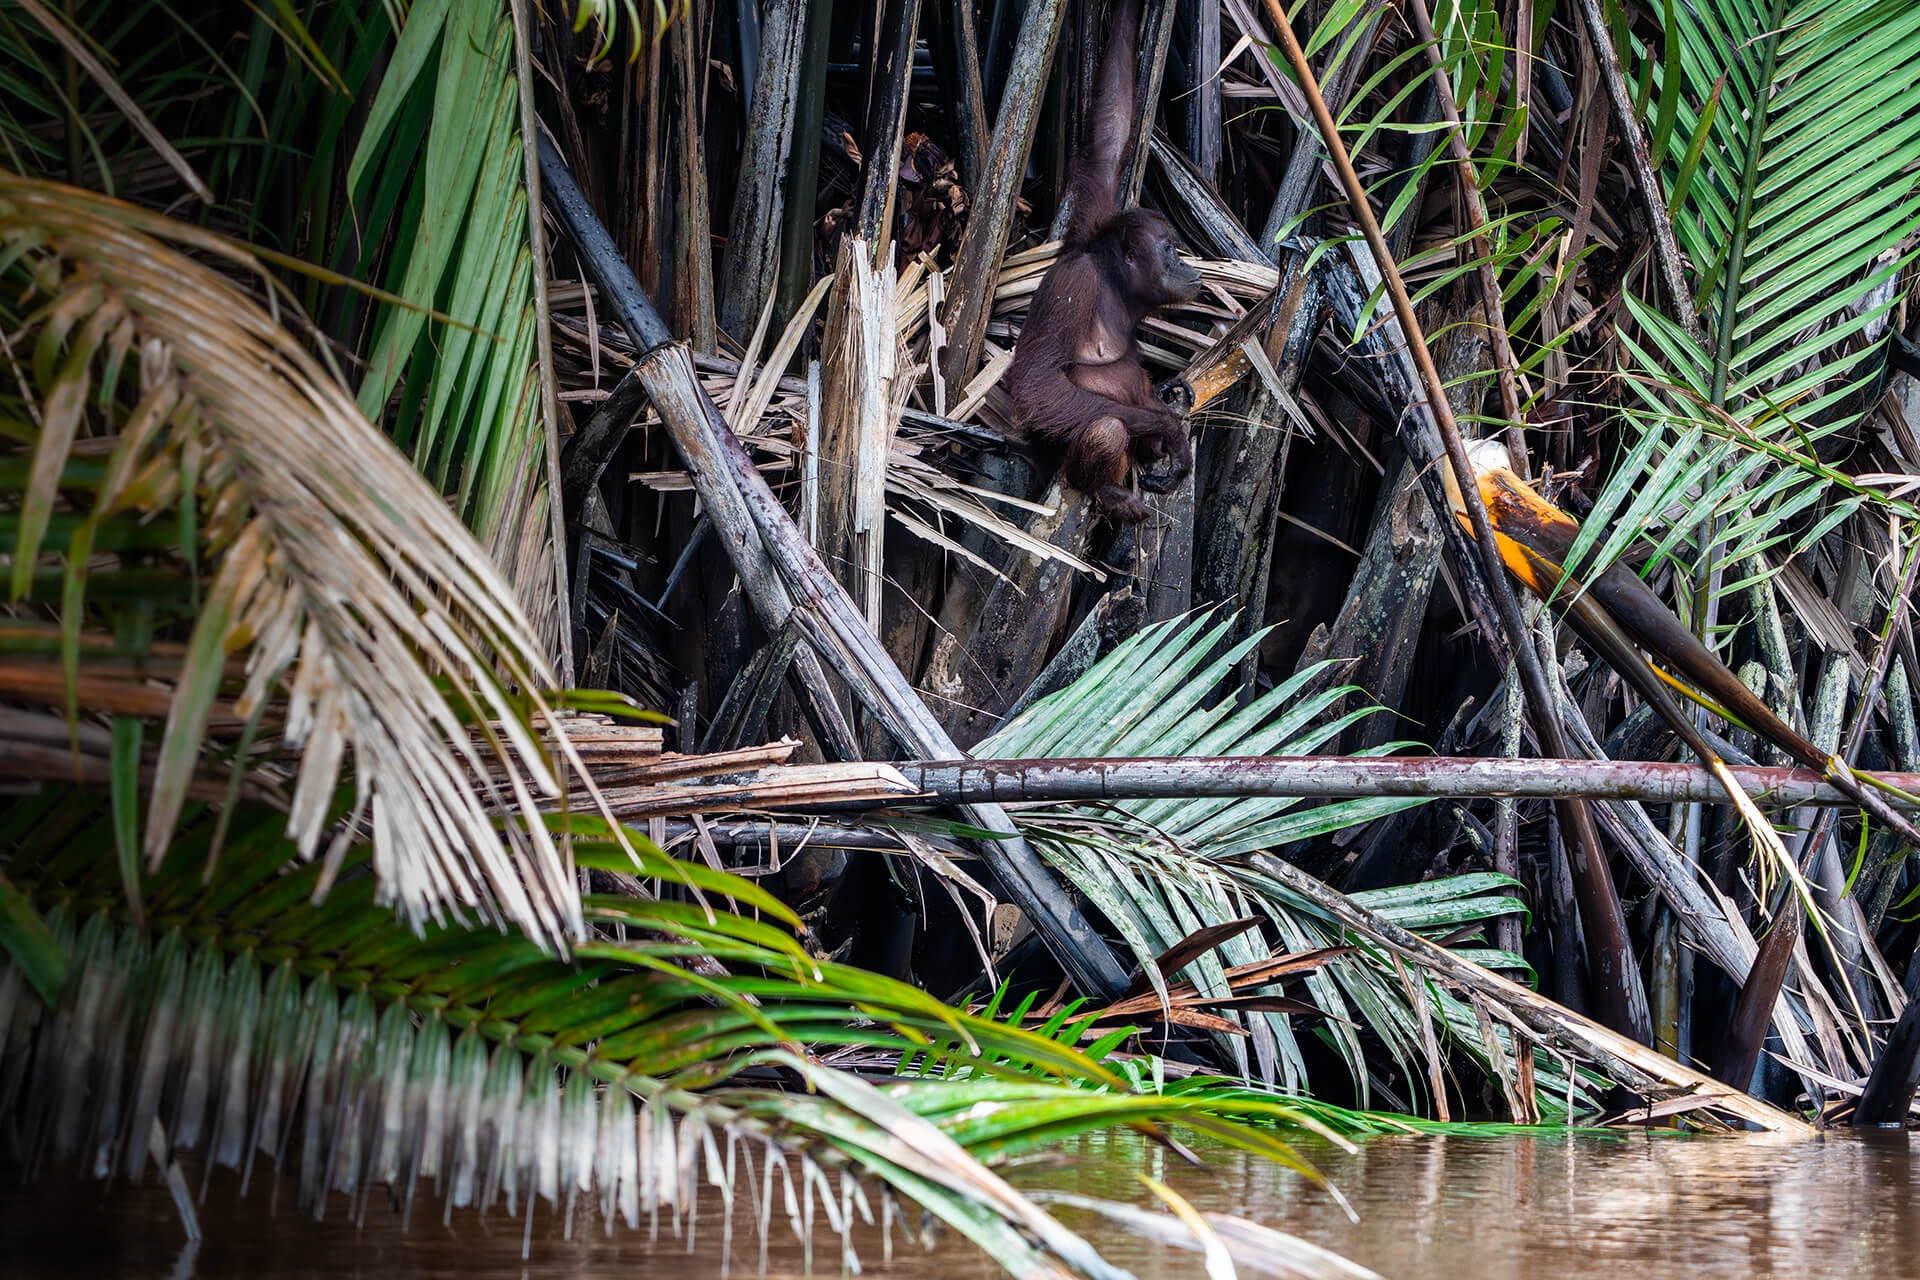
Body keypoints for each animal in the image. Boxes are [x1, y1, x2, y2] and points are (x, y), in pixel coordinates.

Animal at [1004, 0, 1204, 523]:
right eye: (1170, 249)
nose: (1187, 265)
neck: (1113, 286)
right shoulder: (1074, 282)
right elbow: (1038, 384)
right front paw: (1171, 432)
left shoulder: (1093, 221)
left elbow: (1109, 137)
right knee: (1108, 427)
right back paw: (1111, 489)